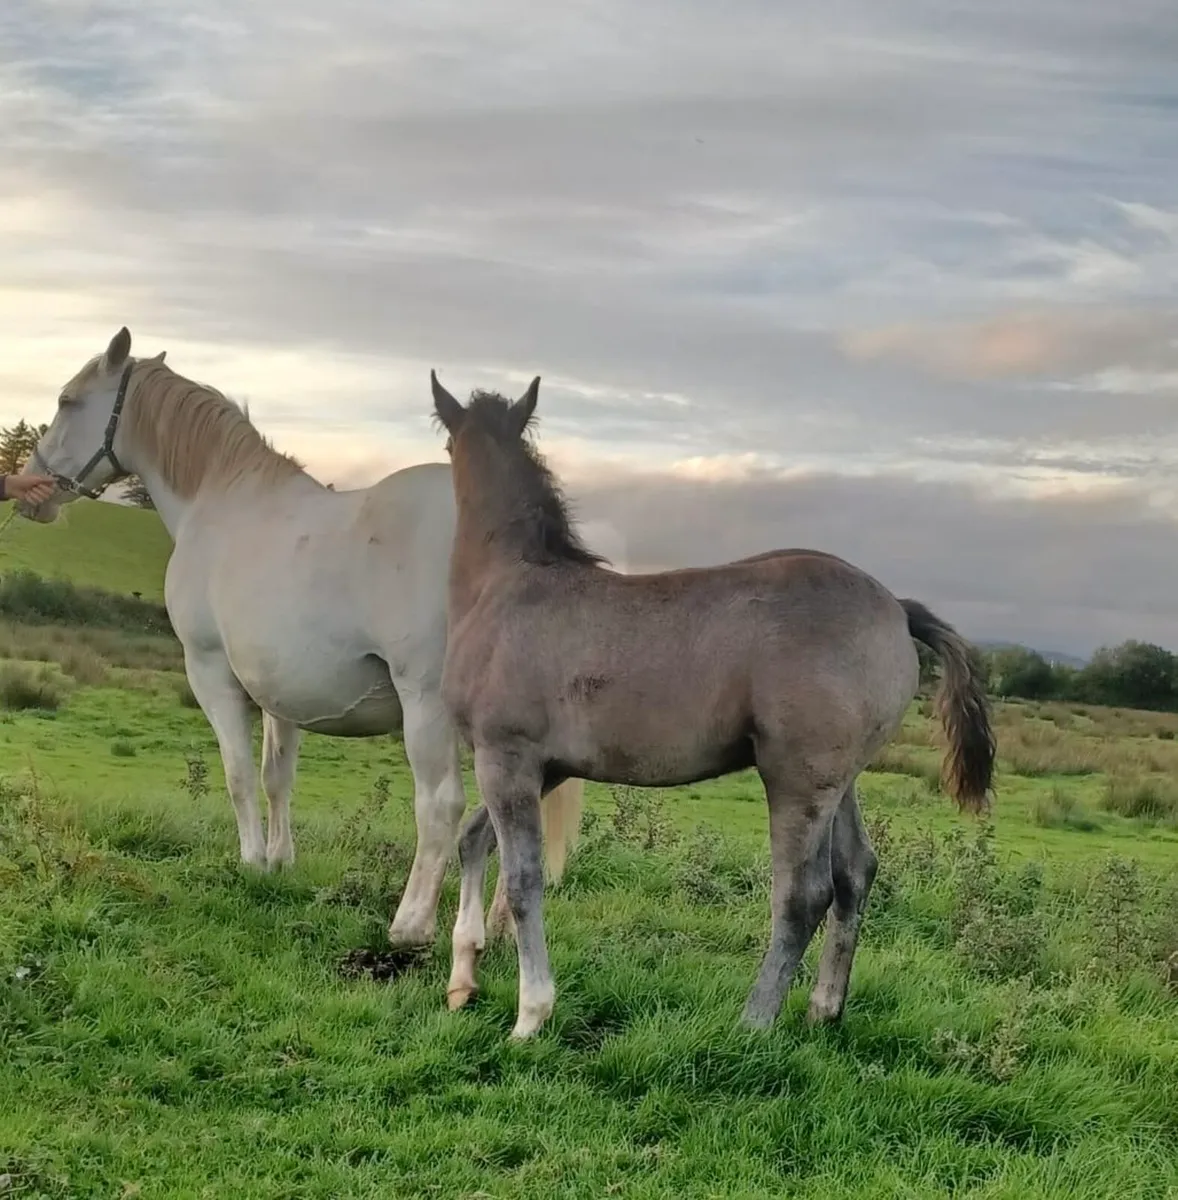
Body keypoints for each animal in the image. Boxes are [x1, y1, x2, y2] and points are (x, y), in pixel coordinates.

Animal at [16, 326, 584, 958]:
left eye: (68, 401)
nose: (30, 491)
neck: (221, 501)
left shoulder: (210, 673)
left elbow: (238, 774)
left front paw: (250, 862)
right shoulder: (279, 694)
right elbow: (275, 777)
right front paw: (280, 861)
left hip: (428, 706)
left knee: (440, 805)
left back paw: (411, 925)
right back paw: (504, 925)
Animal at [429, 371, 996, 1040]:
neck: (505, 584)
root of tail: (897, 608)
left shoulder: (507, 757)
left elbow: (521, 882)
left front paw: (530, 1017)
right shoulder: (542, 768)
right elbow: (472, 841)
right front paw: (462, 980)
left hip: (797, 781)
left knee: (803, 894)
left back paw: (754, 1022)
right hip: (841, 782)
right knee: (856, 873)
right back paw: (823, 1011)